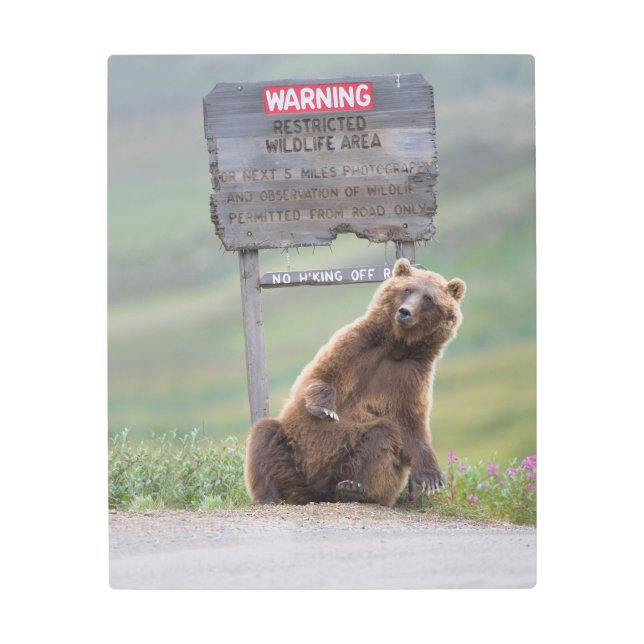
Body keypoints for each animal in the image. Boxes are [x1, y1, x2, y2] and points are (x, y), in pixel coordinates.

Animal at [244, 257, 466, 507]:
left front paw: (431, 477)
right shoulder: (356, 345)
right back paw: (268, 495)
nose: (405, 312)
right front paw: (325, 409)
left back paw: (354, 488)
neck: (396, 345)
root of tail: (316, 493)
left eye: (429, 299)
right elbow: (321, 375)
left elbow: (410, 421)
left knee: (382, 435)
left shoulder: (410, 374)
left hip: (345, 461)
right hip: (293, 449)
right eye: (407, 289)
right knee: (265, 435)